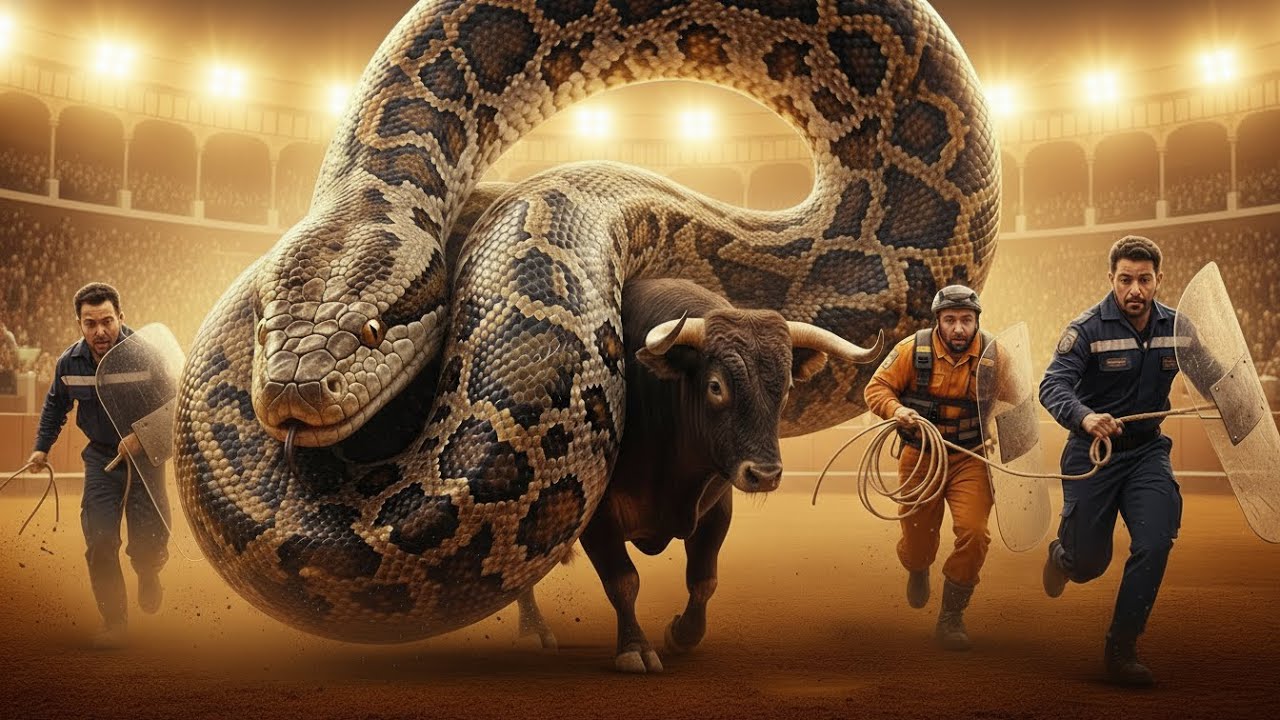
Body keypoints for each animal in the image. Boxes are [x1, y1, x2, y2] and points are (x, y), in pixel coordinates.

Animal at [516, 278, 882, 672]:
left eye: (786, 388)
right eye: (716, 386)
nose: (764, 474)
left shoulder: (717, 508)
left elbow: (704, 581)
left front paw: (681, 633)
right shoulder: (598, 515)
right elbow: (623, 581)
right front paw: (634, 648)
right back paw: (533, 631)